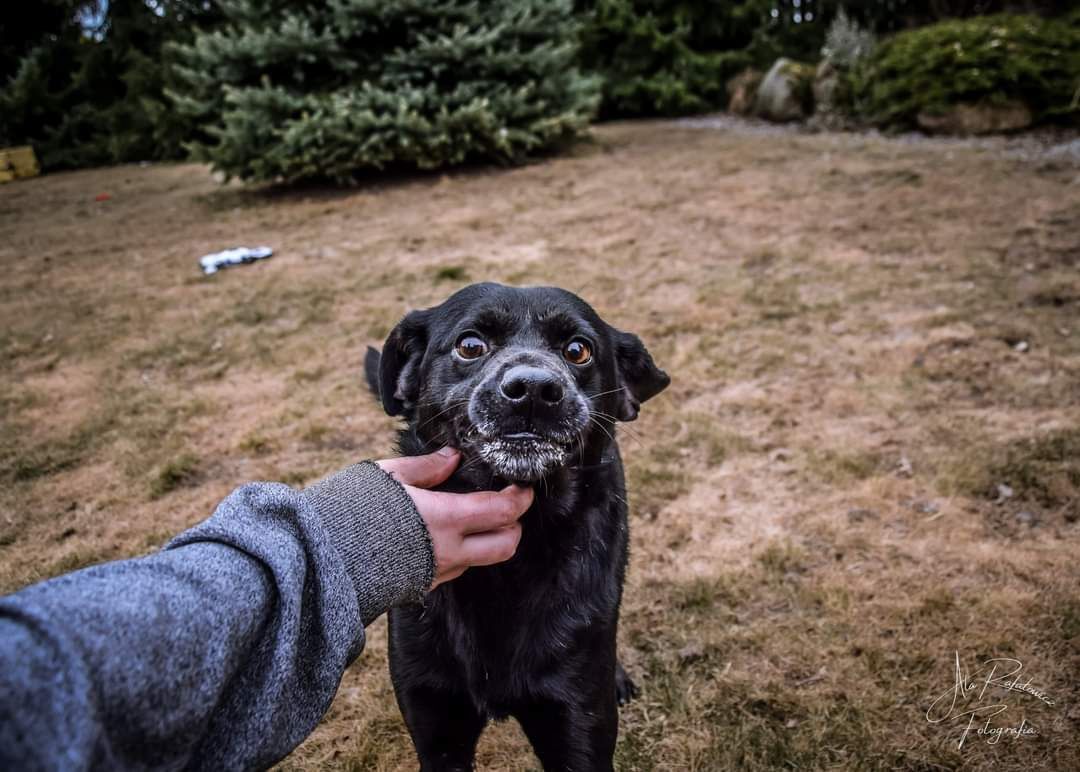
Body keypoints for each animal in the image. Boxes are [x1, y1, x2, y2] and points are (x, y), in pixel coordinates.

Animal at [362, 282, 665, 772]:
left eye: (578, 350)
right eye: (470, 345)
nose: (534, 390)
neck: (511, 567)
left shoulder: (576, 725)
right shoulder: (437, 726)